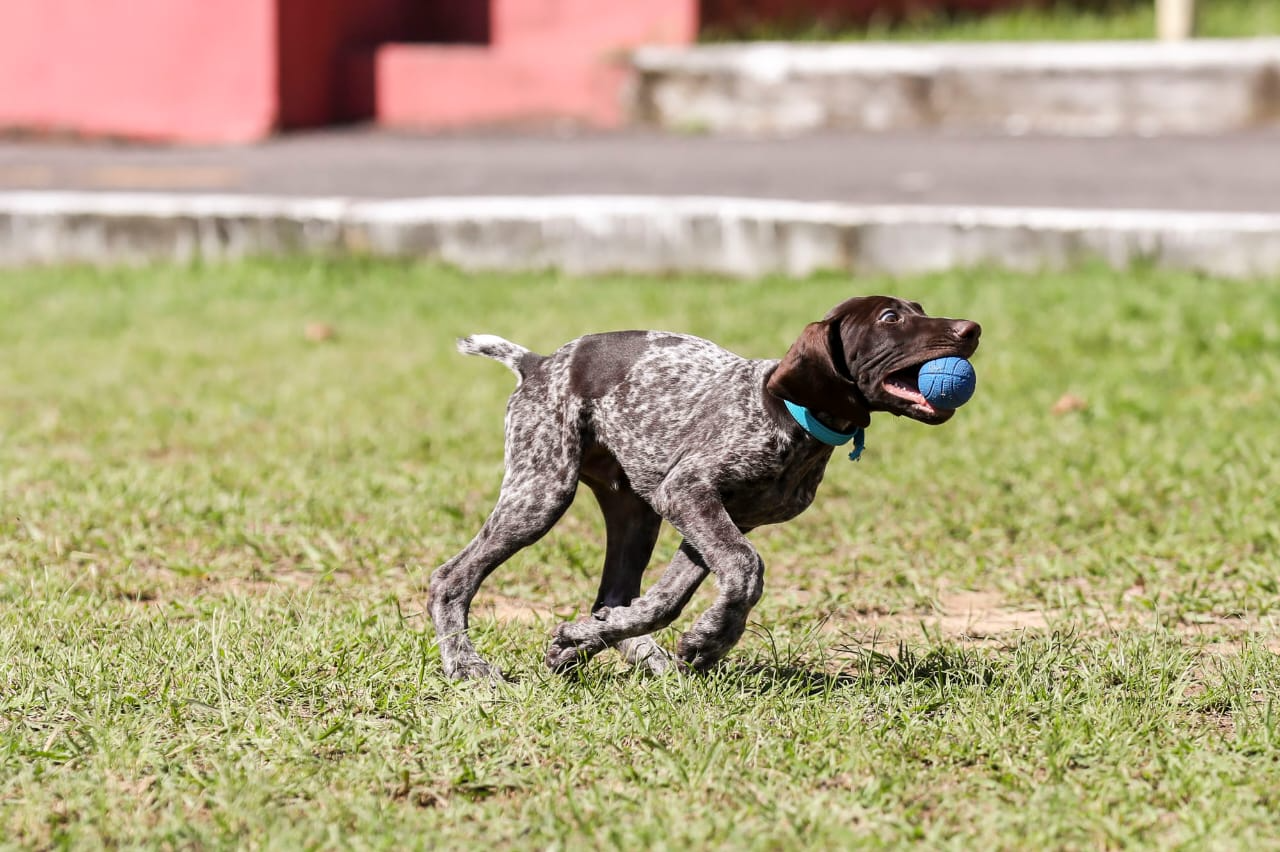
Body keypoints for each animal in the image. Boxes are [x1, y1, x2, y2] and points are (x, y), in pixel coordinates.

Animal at [430, 295, 977, 680]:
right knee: (450, 578)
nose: (971, 329)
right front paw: (709, 640)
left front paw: (583, 641)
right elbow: (746, 570)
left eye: (920, 309)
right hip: (542, 491)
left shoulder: (718, 518)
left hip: (635, 512)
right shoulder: (689, 493)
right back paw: (467, 665)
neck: (791, 416)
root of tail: (539, 363)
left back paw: (625, 651)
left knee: (612, 596)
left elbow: (668, 599)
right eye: (891, 317)